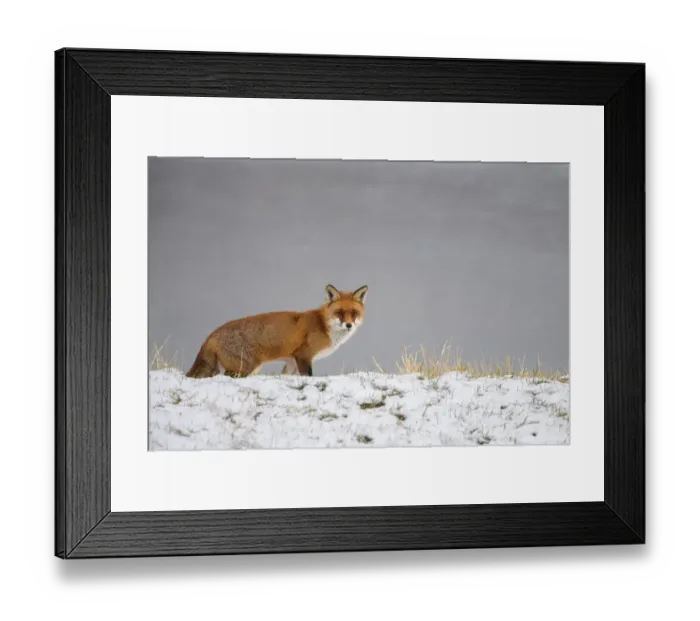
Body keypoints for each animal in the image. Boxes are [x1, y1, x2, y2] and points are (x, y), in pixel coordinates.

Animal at [185, 284, 368, 379]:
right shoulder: (304, 356)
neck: (324, 326)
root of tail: (211, 334)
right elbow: (308, 376)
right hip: (246, 367)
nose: (349, 325)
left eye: (354, 313)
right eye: (340, 313)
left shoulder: (291, 361)